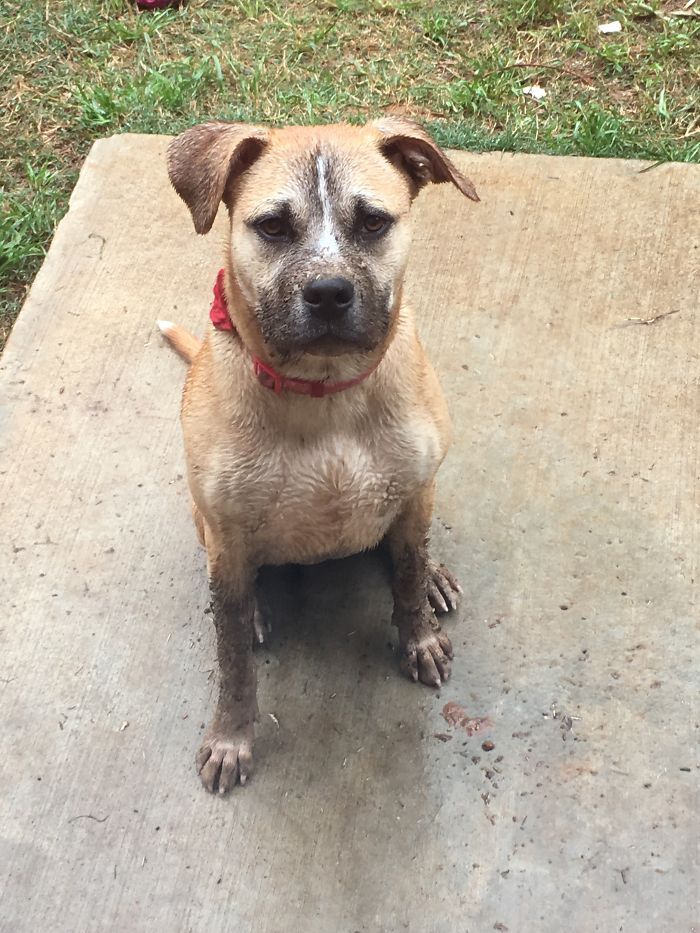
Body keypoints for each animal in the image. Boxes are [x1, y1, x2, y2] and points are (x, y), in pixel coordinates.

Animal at [159, 113, 478, 792]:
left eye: (374, 222)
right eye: (273, 227)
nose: (329, 293)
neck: (326, 391)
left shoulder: (416, 489)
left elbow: (407, 575)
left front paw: (418, 634)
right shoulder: (227, 534)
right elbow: (232, 660)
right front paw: (231, 738)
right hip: (209, 529)